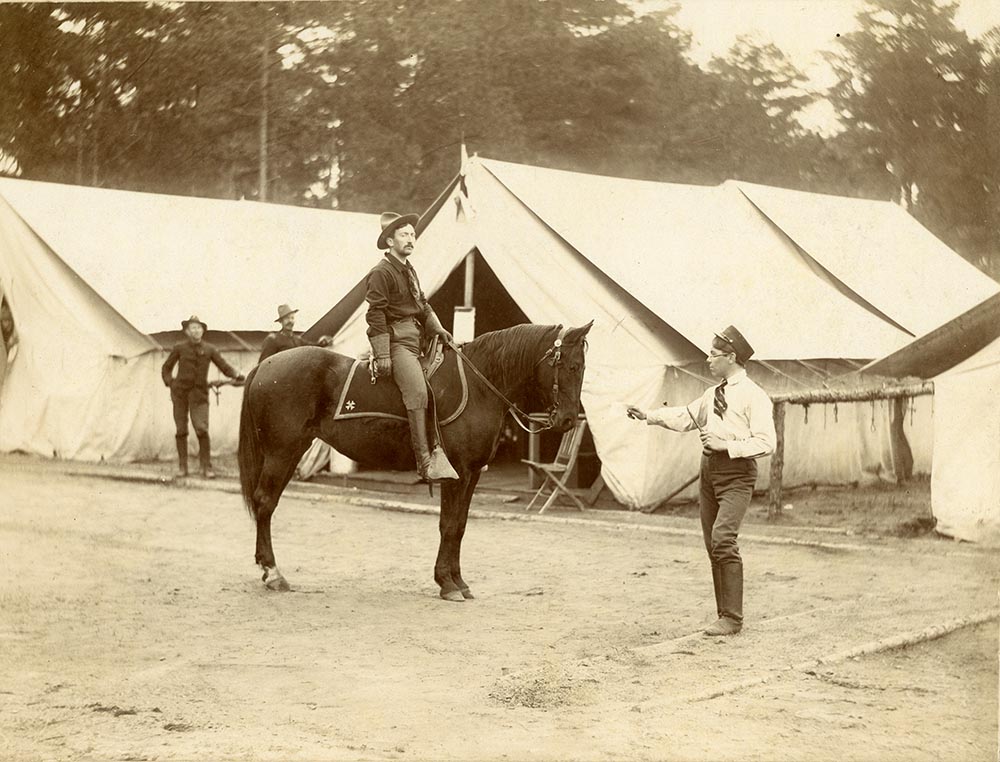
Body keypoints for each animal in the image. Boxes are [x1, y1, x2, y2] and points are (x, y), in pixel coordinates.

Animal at [237, 320, 588, 600]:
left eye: (583, 367)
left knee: (266, 503)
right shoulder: (458, 473)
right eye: (571, 367)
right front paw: (447, 583)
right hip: (282, 452)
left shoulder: (472, 474)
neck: (479, 385)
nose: (569, 420)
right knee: (265, 502)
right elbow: (448, 525)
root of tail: (265, 365)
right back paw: (273, 573)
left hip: (291, 452)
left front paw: (459, 581)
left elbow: (460, 526)